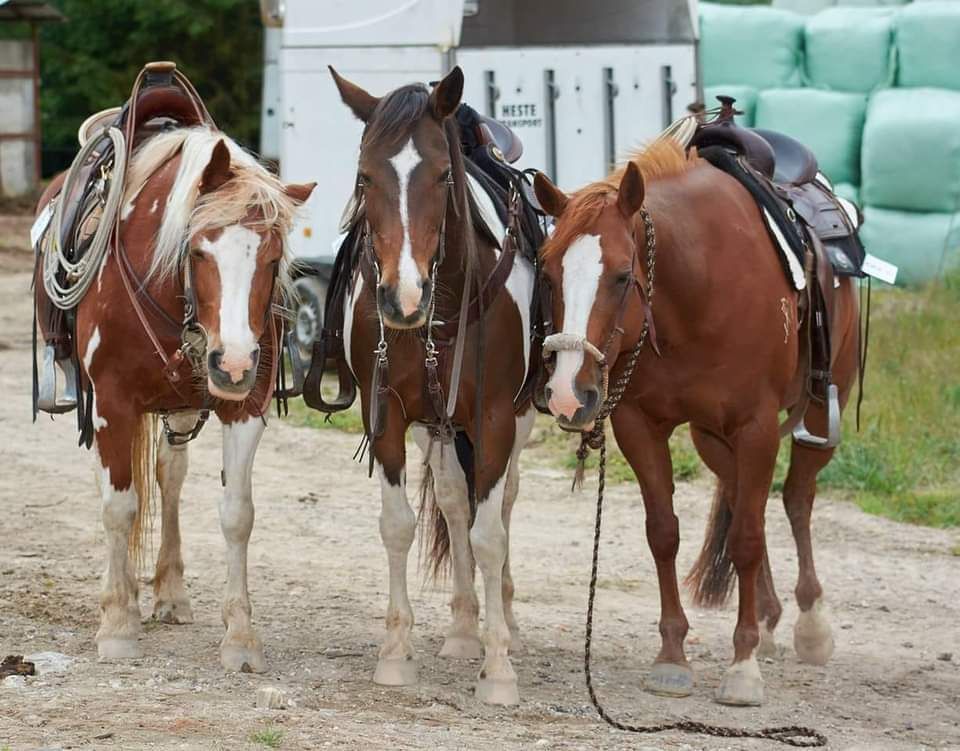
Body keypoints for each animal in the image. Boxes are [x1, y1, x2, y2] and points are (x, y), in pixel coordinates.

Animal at [34, 126, 316, 672]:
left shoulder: (245, 407)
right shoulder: (112, 406)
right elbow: (119, 508)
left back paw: (169, 593)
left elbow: (237, 514)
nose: (232, 364)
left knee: (170, 478)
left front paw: (240, 637)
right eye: (199, 251)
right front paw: (118, 623)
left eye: (273, 259)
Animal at [328, 66, 540, 704]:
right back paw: (465, 629)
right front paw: (397, 654)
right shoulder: (389, 414)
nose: (402, 297)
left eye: (444, 175)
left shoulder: (496, 418)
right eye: (364, 176)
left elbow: (491, 533)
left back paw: (503, 624)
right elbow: (401, 526)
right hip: (438, 427)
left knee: (503, 503)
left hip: (511, 422)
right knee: (452, 501)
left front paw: (499, 669)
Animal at [536, 140, 860, 704]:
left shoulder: (755, 427)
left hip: (819, 412)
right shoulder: (640, 426)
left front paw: (743, 667)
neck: (694, 293)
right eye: (549, 273)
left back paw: (811, 624)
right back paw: (770, 616)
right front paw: (672, 656)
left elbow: (748, 538)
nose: (566, 394)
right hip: (712, 438)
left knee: (796, 499)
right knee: (741, 494)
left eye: (623, 276)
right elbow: (664, 532)